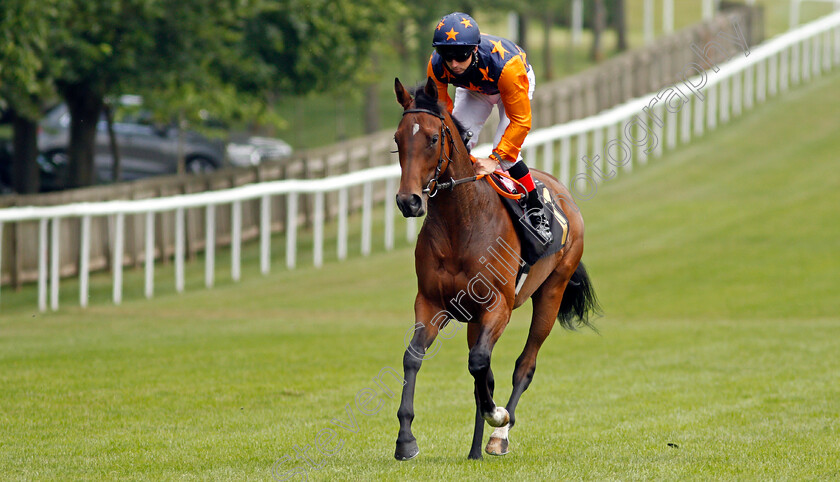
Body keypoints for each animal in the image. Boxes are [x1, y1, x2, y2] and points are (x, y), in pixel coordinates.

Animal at [392, 78, 596, 460]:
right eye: (398, 139)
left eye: (432, 138)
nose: (408, 201)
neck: (461, 223)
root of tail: (564, 195)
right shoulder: (431, 302)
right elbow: (415, 357)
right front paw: (405, 439)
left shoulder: (498, 306)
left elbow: (479, 364)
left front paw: (497, 415)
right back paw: (474, 448)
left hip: (552, 291)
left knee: (524, 365)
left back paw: (499, 435)